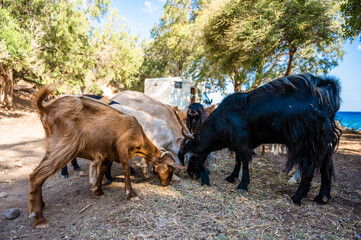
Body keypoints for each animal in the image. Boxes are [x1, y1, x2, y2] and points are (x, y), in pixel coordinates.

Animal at [29, 85, 184, 229]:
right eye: (169, 169)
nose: (165, 184)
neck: (139, 133)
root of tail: (47, 108)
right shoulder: (123, 148)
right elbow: (126, 169)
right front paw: (131, 194)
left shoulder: (107, 152)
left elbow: (103, 169)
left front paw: (98, 191)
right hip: (65, 146)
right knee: (37, 175)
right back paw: (39, 218)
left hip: (53, 146)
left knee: (36, 174)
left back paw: (41, 205)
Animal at [180, 74, 340, 205]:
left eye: (191, 160)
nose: (192, 175)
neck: (223, 118)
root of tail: (323, 87)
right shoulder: (238, 143)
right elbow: (238, 160)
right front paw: (232, 177)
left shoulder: (241, 141)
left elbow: (244, 160)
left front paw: (243, 185)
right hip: (322, 140)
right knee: (326, 164)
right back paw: (322, 197)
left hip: (307, 139)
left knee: (310, 166)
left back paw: (298, 196)